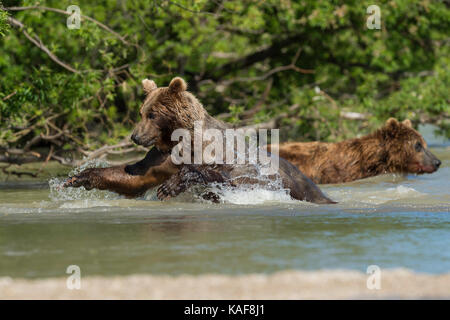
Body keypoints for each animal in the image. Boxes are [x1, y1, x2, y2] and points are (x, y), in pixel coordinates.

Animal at [65, 76, 336, 204]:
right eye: (141, 112)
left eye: (152, 114)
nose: (135, 136)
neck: (178, 140)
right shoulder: (161, 157)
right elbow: (136, 174)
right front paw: (79, 176)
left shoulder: (227, 157)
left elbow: (229, 174)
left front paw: (169, 187)